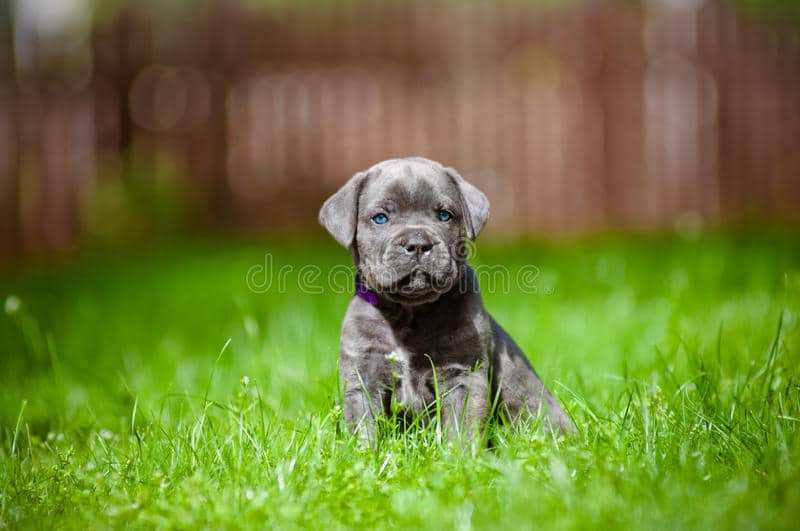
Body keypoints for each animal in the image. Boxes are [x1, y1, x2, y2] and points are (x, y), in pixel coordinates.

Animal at [318, 157, 576, 444]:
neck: (409, 312)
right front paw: (366, 453)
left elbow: (463, 426)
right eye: (381, 218)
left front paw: (462, 455)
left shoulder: (462, 374)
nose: (418, 243)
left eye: (444, 215)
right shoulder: (363, 376)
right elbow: (364, 426)